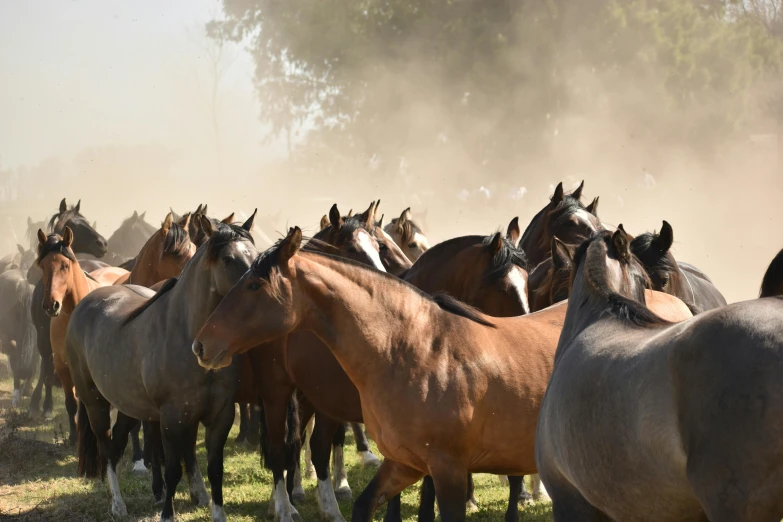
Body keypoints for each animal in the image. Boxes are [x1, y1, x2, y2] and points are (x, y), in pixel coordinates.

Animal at [36, 228, 129, 442]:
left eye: (65, 265)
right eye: (42, 265)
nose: (51, 305)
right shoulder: (62, 365)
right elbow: (71, 402)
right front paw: (72, 436)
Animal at [67, 212, 256, 520]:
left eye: (256, 253)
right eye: (228, 259)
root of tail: (85, 303)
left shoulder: (220, 415)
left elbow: (215, 469)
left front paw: (216, 511)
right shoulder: (171, 418)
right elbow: (172, 469)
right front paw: (167, 513)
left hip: (130, 405)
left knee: (118, 444)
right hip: (95, 402)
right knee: (106, 448)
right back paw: (118, 504)